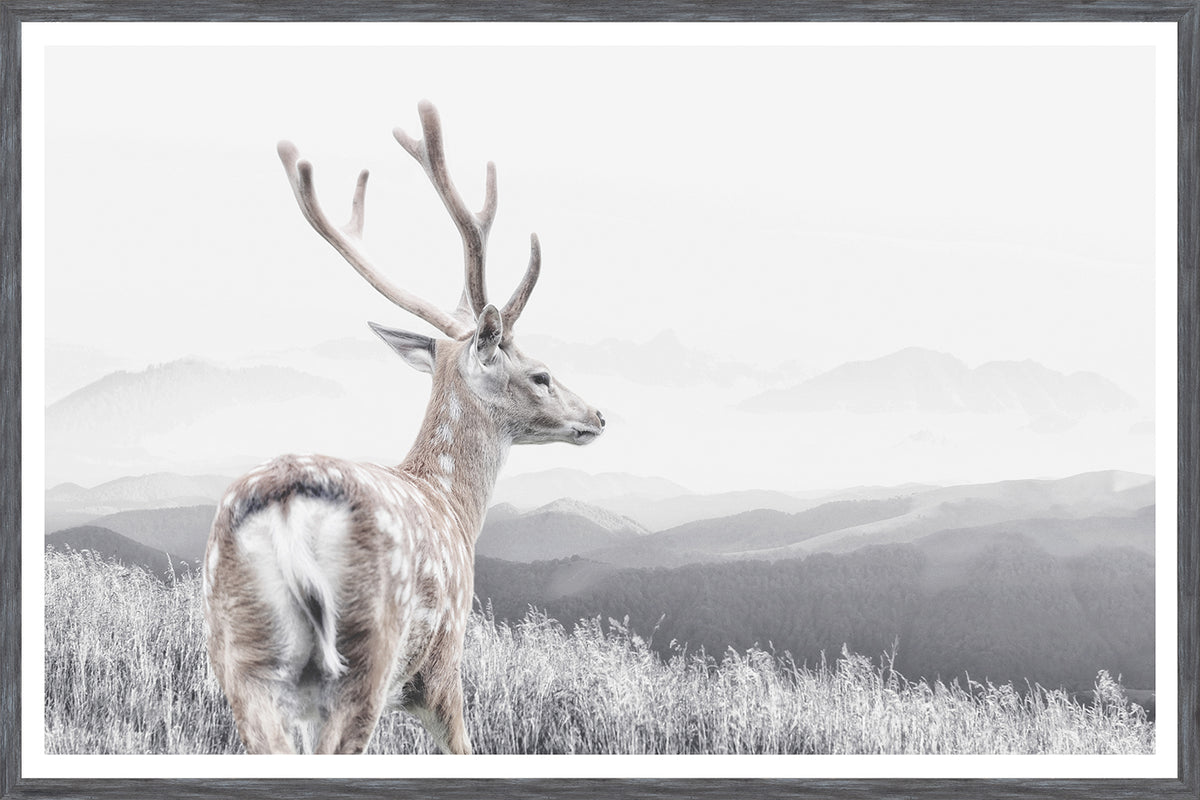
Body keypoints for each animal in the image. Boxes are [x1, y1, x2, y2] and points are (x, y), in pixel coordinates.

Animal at [202, 100, 604, 755]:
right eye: (541, 374)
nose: (597, 416)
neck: (453, 506)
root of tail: (285, 507)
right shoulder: (442, 669)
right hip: (365, 657)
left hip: (237, 655)